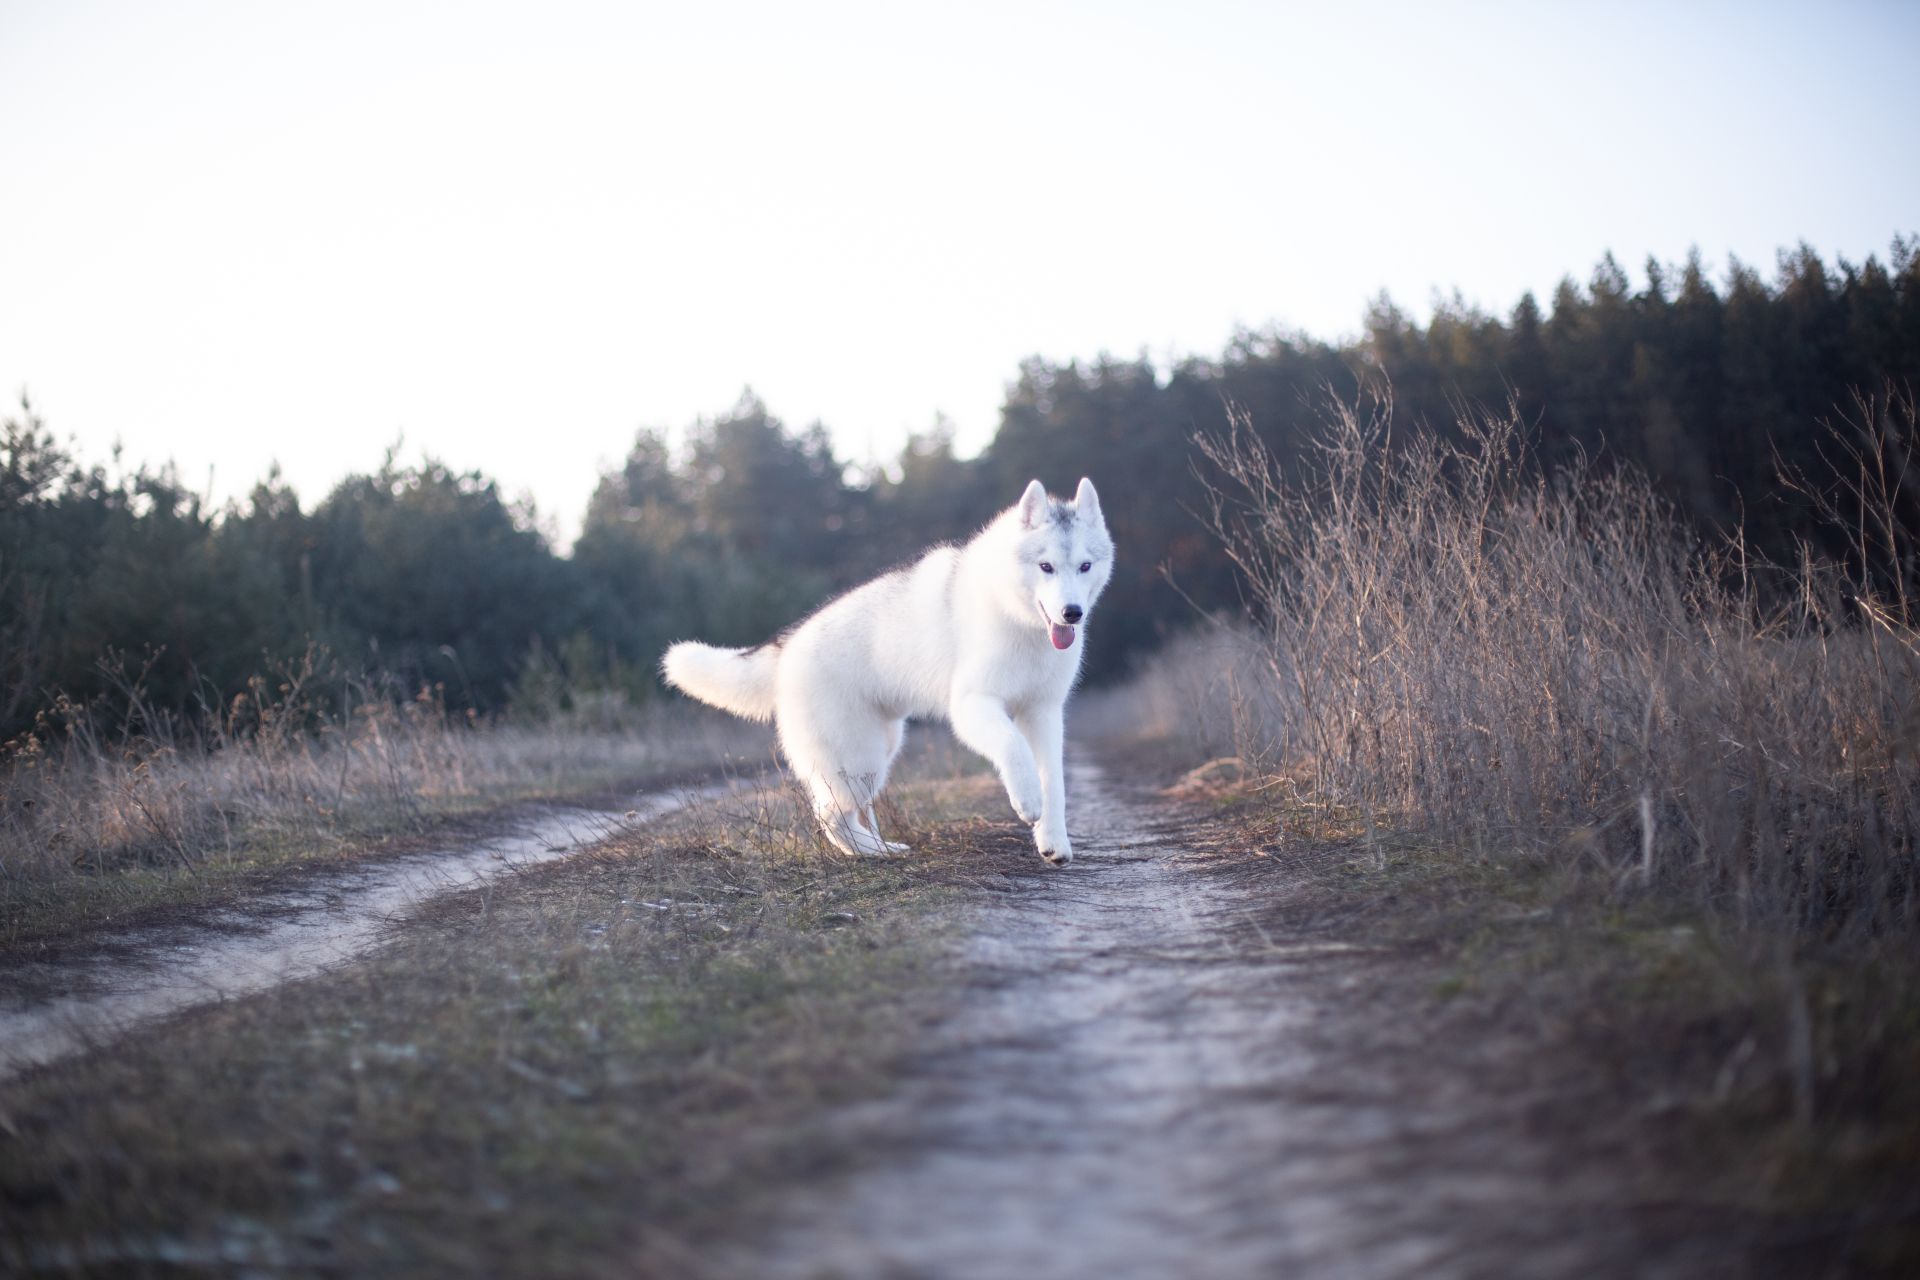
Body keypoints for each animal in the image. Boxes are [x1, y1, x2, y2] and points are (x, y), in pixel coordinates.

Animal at [660, 477, 1113, 859]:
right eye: (1046, 567)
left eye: (1085, 566)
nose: (1072, 613)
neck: (1018, 619)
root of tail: (787, 647)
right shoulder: (974, 705)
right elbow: (1012, 747)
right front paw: (1027, 800)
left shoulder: (1043, 713)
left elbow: (1054, 781)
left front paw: (1053, 840)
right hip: (860, 762)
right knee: (829, 816)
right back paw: (872, 853)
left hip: (880, 749)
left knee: (839, 814)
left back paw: (878, 848)